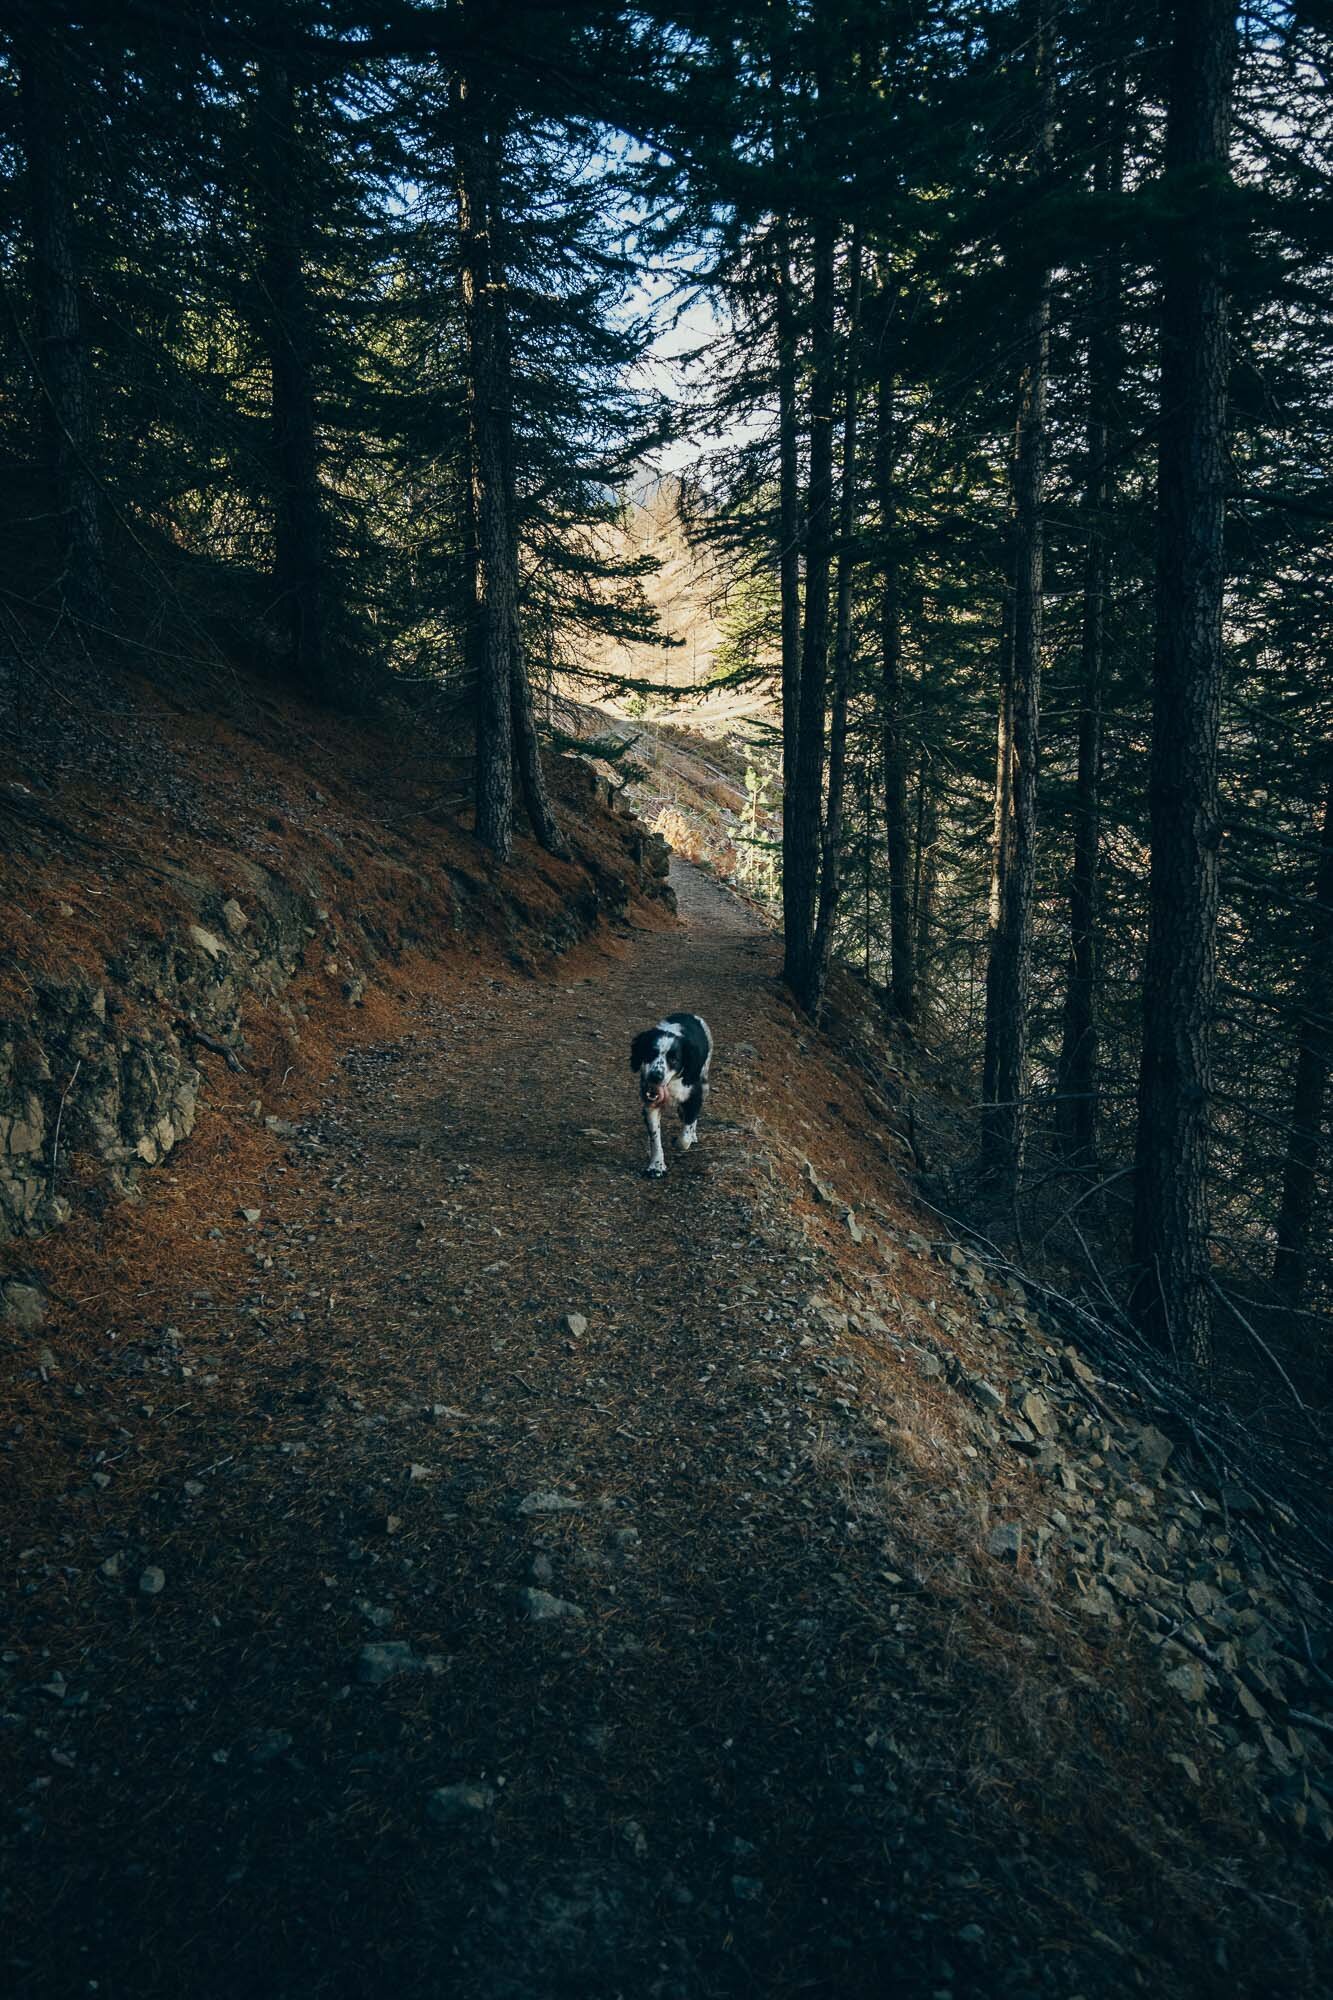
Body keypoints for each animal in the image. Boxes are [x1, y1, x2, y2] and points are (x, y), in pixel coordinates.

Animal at [628, 1016, 712, 1168]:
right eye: (651, 1053)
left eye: (674, 1059)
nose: (655, 1076)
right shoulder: (651, 1104)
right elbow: (655, 1138)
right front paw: (657, 1166)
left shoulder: (694, 1098)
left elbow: (684, 1138)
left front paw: (682, 1140)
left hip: (705, 1083)